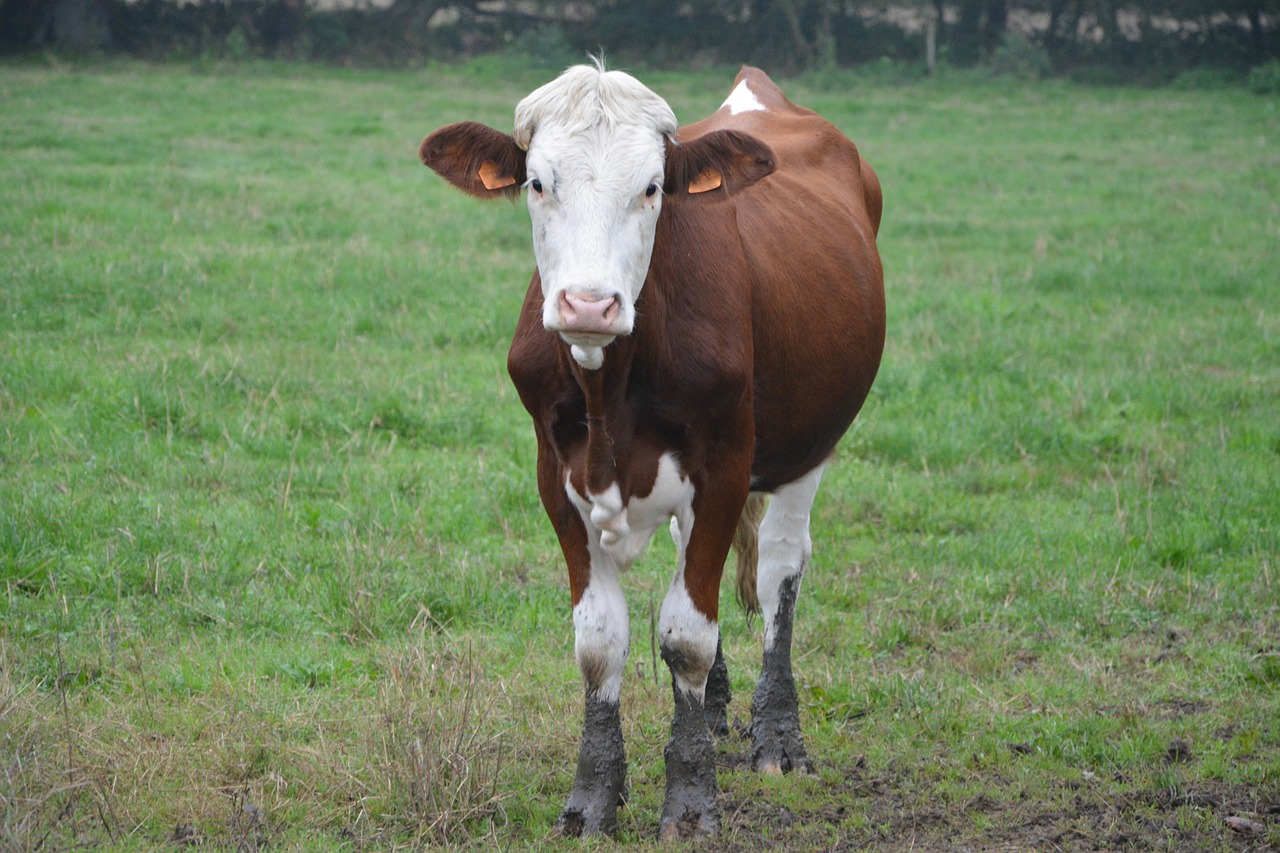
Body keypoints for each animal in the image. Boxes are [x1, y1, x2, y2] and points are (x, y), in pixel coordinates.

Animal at [417, 63, 880, 840]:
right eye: (537, 182)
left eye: (653, 187)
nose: (587, 304)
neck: (611, 388)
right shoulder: (555, 477)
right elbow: (601, 640)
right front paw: (594, 798)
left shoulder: (724, 470)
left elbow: (687, 634)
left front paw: (691, 802)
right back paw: (717, 710)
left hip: (807, 446)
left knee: (778, 568)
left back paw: (776, 734)